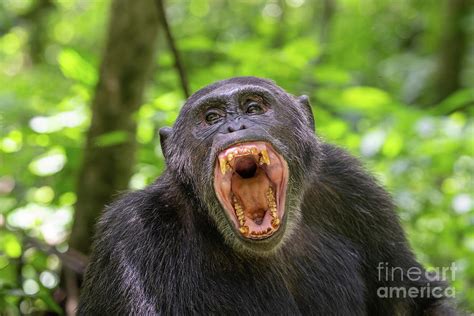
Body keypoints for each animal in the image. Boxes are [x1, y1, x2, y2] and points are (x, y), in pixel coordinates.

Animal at [77, 77, 456, 316]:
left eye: (254, 108)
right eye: (211, 117)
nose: (234, 126)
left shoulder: (355, 189)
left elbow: (412, 303)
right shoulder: (131, 237)